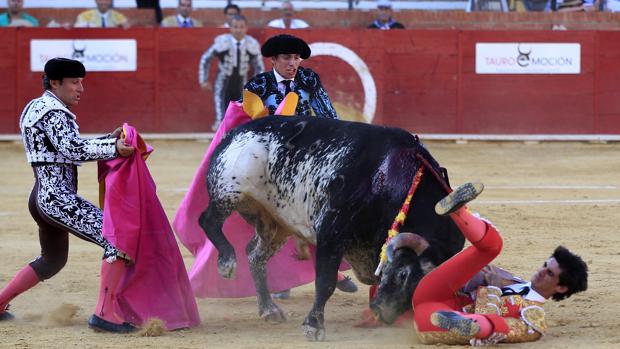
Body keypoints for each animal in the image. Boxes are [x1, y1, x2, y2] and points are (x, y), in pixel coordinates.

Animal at [200, 116, 464, 340]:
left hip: (275, 224)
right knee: (208, 220)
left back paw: (269, 309)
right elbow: (325, 282)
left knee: (255, 255)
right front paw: (313, 326)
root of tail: (235, 132)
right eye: (403, 274)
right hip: (229, 191)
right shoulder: (331, 231)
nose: (383, 313)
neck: (391, 176)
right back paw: (227, 263)